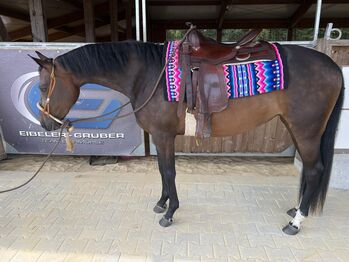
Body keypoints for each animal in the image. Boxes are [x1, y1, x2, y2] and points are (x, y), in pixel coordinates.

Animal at [30, 35, 342, 235]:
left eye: (44, 87)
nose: (45, 125)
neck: (147, 74)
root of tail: (334, 67)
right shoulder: (160, 136)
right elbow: (161, 170)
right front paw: (162, 204)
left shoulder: (164, 135)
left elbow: (169, 171)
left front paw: (170, 213)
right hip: (295, 127)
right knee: (309, 172)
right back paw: (295, 210)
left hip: (306, 130)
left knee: (314, 170)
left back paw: (296, 222)